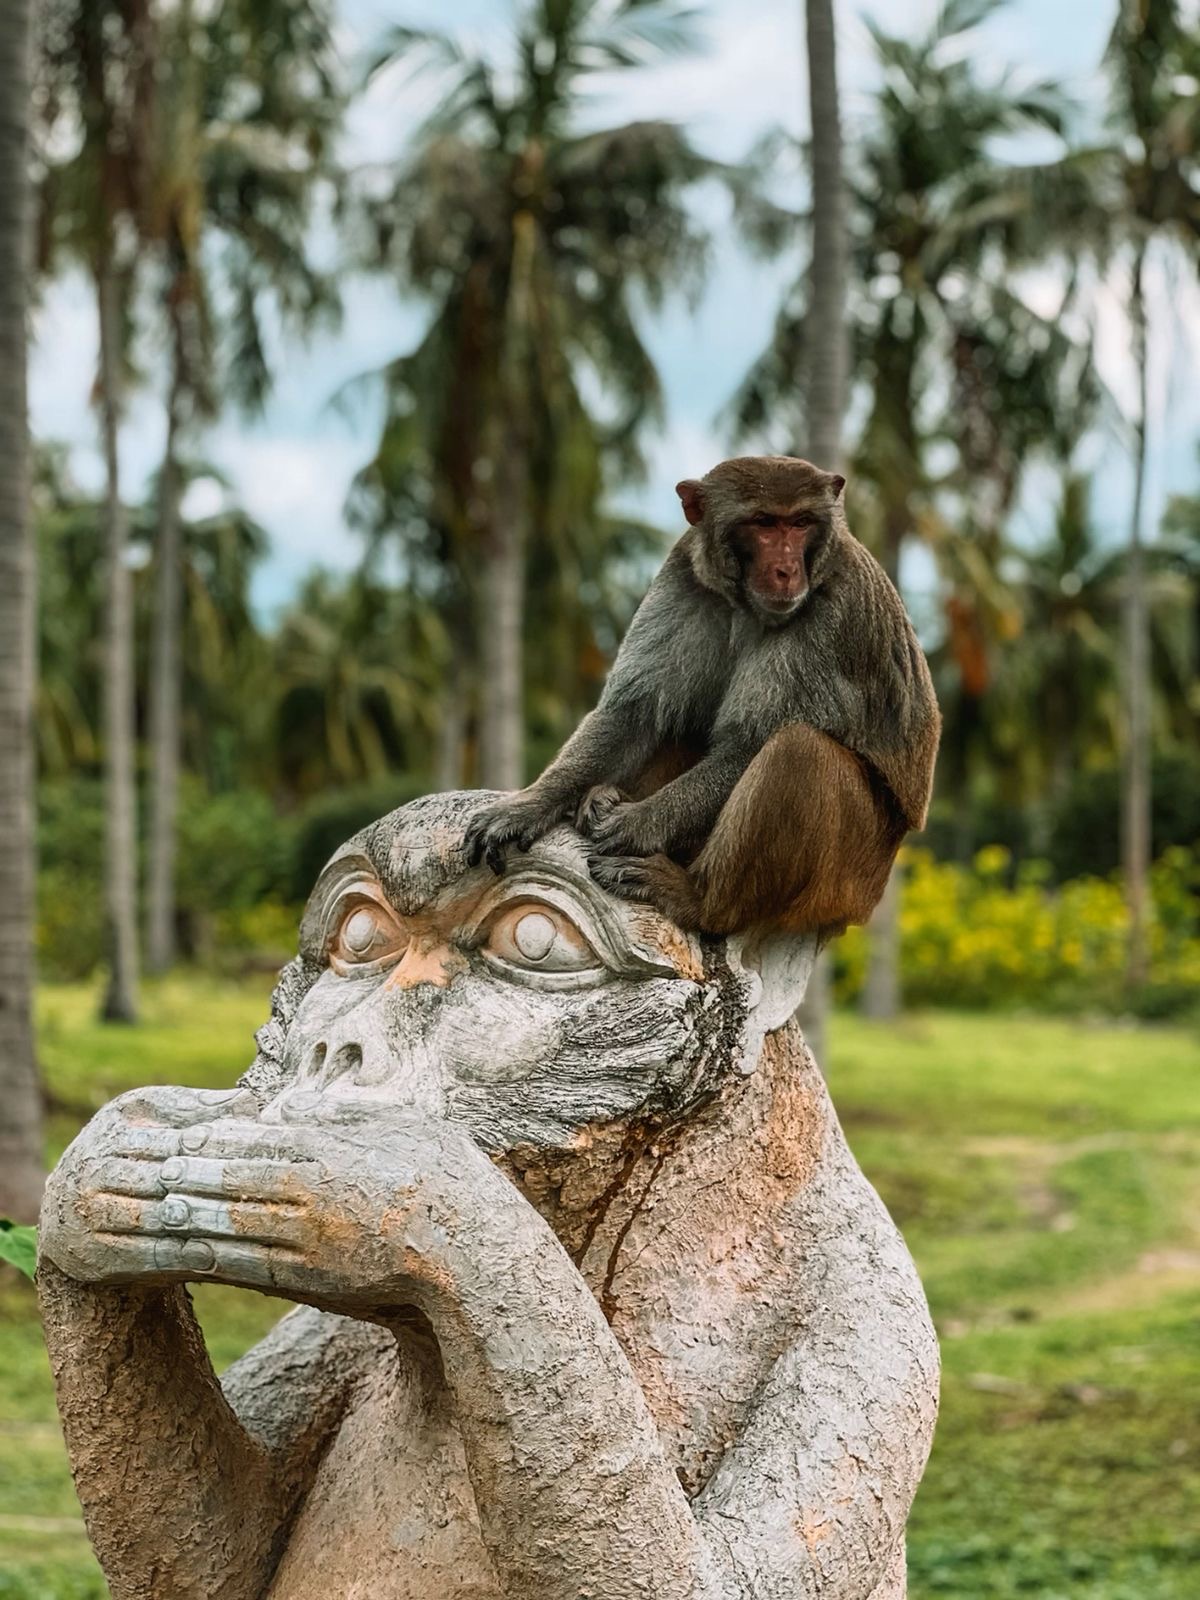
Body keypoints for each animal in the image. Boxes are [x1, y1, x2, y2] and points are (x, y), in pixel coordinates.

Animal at [464, 455, 940, 939]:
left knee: (797, 750)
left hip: (850, 877)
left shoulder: (834, 616)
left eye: (801, 523)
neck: (745, 605)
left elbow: (747, 743)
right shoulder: (684, 577)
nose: (788, 571)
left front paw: (639, 822)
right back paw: (604, 798)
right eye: (764, 523)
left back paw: (699, 900)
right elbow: (634, 713)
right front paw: (530, 806)